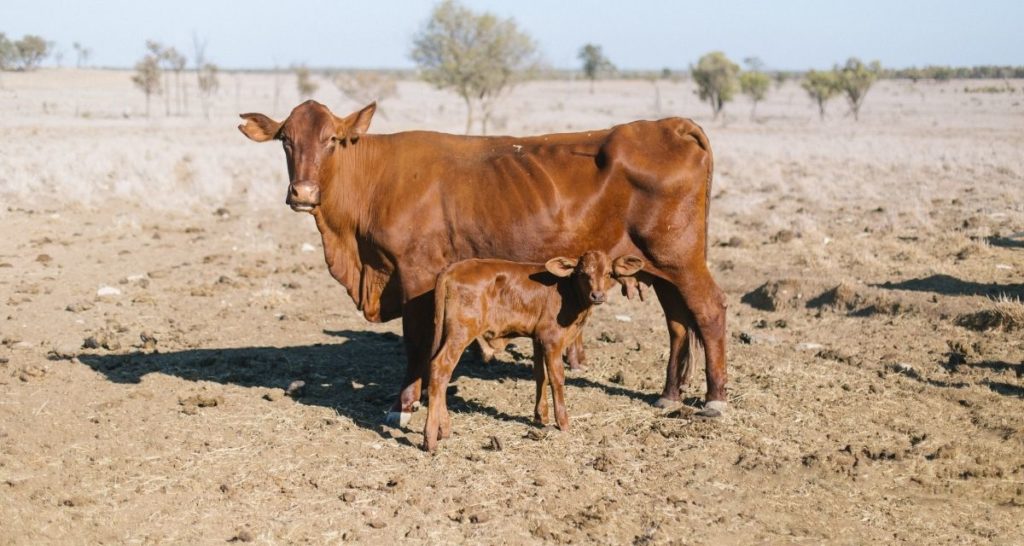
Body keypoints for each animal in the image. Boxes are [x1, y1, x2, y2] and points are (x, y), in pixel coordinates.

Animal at [237, 102, 729, 426]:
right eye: (286, 139)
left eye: (332, 140)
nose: (302, 192)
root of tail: (669, 125)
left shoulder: (416, 275)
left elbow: (416, 343)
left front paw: (403, 405)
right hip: (658, 267)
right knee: (678, 324)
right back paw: (669, 395)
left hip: (682, 260)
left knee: (708, 312)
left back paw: (715, 398)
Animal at [421, 250, 638, 450]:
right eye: (583, 273)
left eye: (609, 273)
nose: (598, 295)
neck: (569, 292)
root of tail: (453, 268)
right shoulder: (552, 339)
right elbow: (557, 377)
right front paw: (563, 422)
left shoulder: (538, 338)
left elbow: (540, 375)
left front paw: (541, 416)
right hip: (461, 331)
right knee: (441, 368)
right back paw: (430, 438)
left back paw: (444, 428)